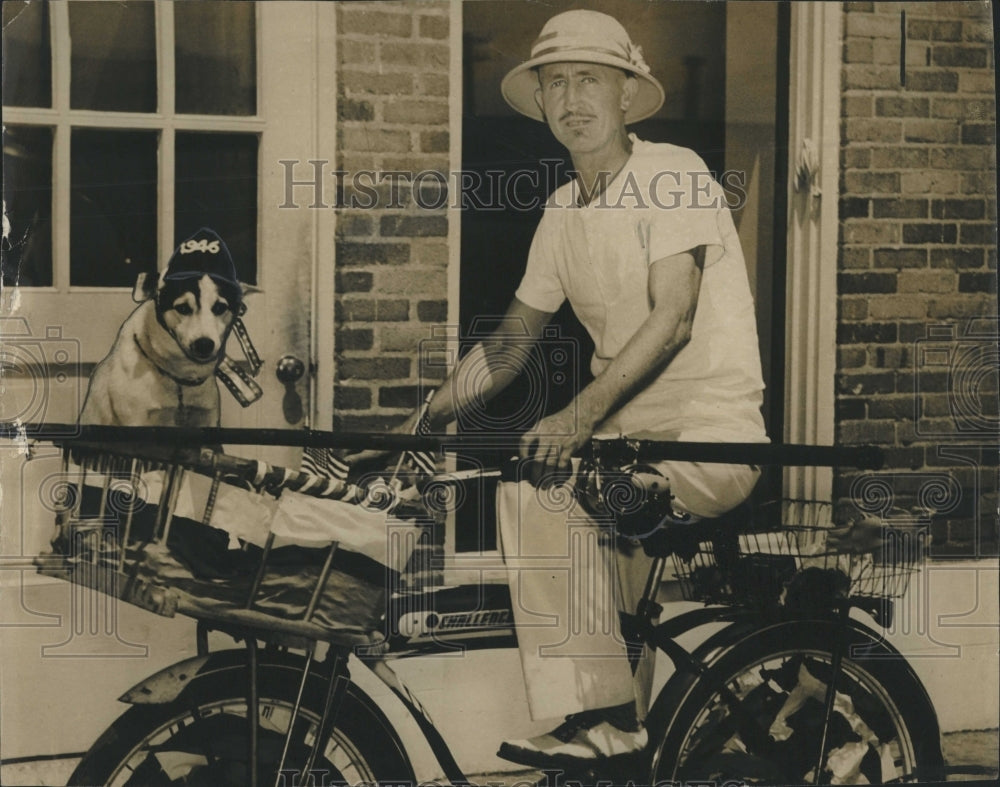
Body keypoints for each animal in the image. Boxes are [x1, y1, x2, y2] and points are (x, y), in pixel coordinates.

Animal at [81, 225, 258, 428]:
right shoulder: (137, 419)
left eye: (220, 307)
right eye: (182, 308)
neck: (178, 380)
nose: (204, 344)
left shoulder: (207, 418)